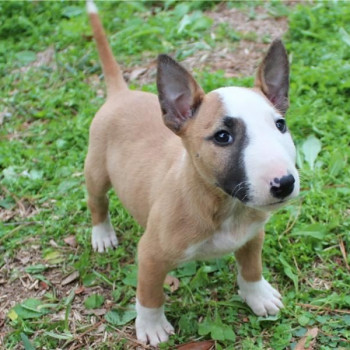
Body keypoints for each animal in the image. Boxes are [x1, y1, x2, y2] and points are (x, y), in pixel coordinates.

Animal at [85, 0, 300, 344]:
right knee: (97, 201)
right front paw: (152, 326)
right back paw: (102, 235)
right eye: (223, 137)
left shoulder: (253, 235)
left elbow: (251, 269)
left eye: (280, 125)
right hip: (96, 170)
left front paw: (259, 296)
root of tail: (122, 93)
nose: (284, 183)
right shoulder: (151, 253)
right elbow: (150, 294)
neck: (226, 206)